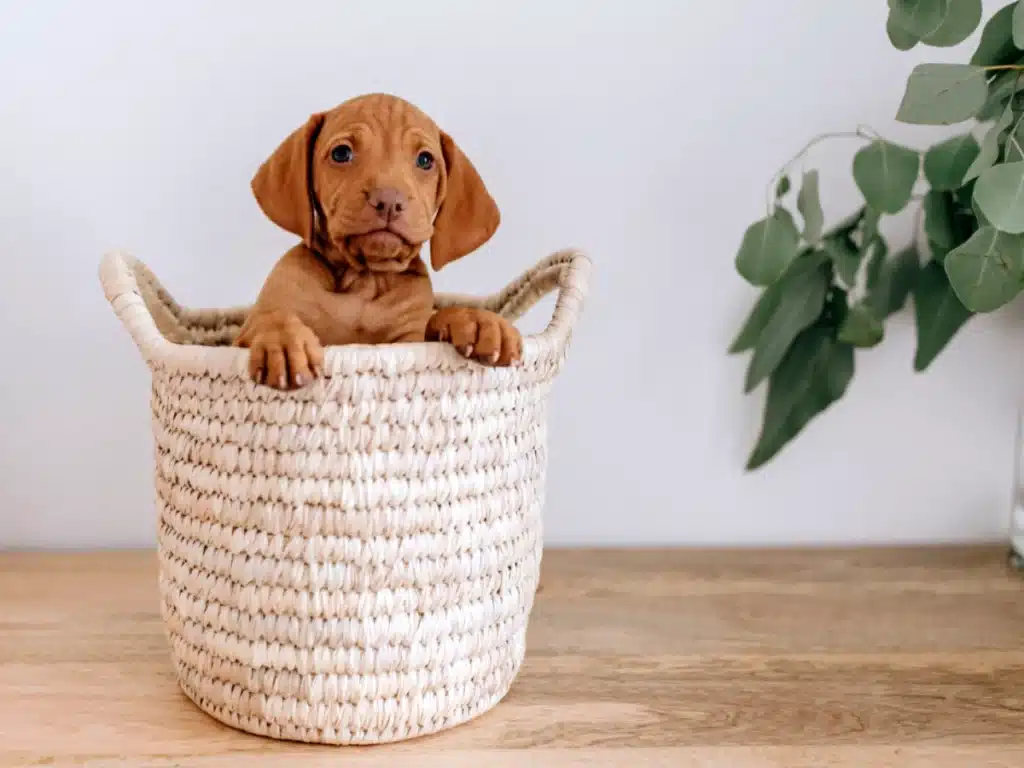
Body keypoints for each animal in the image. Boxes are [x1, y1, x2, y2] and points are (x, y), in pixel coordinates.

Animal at [232, 91, 520, 391]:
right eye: (341, 153)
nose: (389, 200)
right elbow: (272, 317)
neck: (364, 280)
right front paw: (282, 341)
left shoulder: (410, 340)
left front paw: (476, 321)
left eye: (425, 160)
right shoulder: (244, 333)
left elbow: (434, 320)